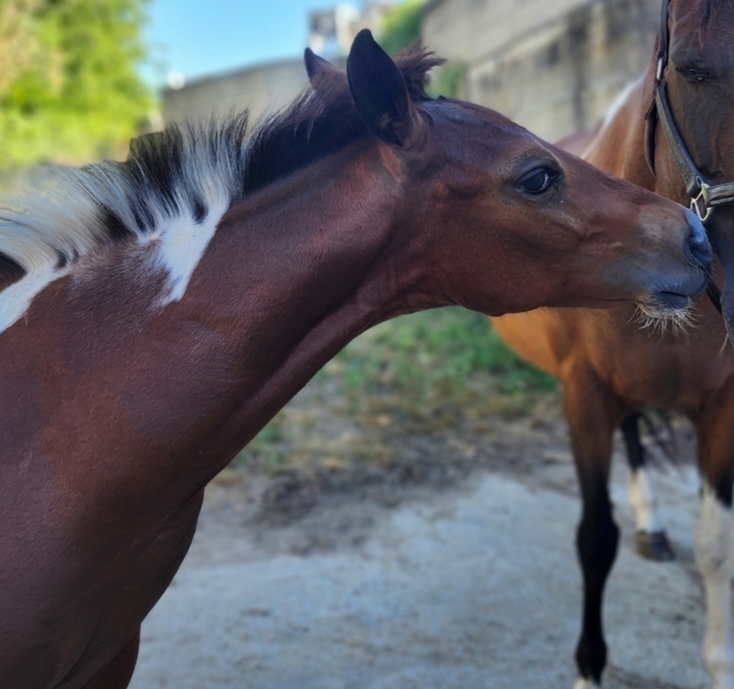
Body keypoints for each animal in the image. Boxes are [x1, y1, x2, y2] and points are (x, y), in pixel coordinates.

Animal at [492, 0, 734, 687]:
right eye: (693, 68)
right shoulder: (587, 398)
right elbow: (596, 539)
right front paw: (588, 669)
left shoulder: (723, 411)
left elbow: (717, 548)